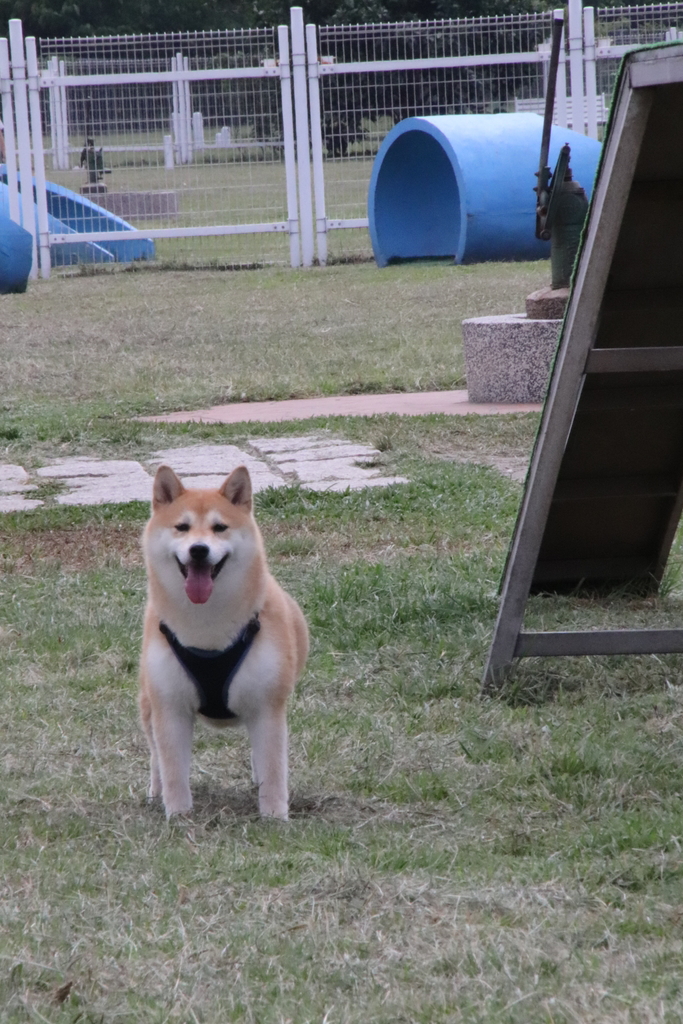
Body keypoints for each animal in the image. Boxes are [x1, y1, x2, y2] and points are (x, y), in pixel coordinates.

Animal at [137, 468, 309, 819]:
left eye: (220, 527)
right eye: (182, 527)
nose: (199, 549)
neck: (207, 631)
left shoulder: (268, 706)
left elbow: (273, 770)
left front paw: (275, 817)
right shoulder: (170, 707)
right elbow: (173, 770)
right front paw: (178, 815)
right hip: (149, 703)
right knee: (156, 757)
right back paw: (155, 792)